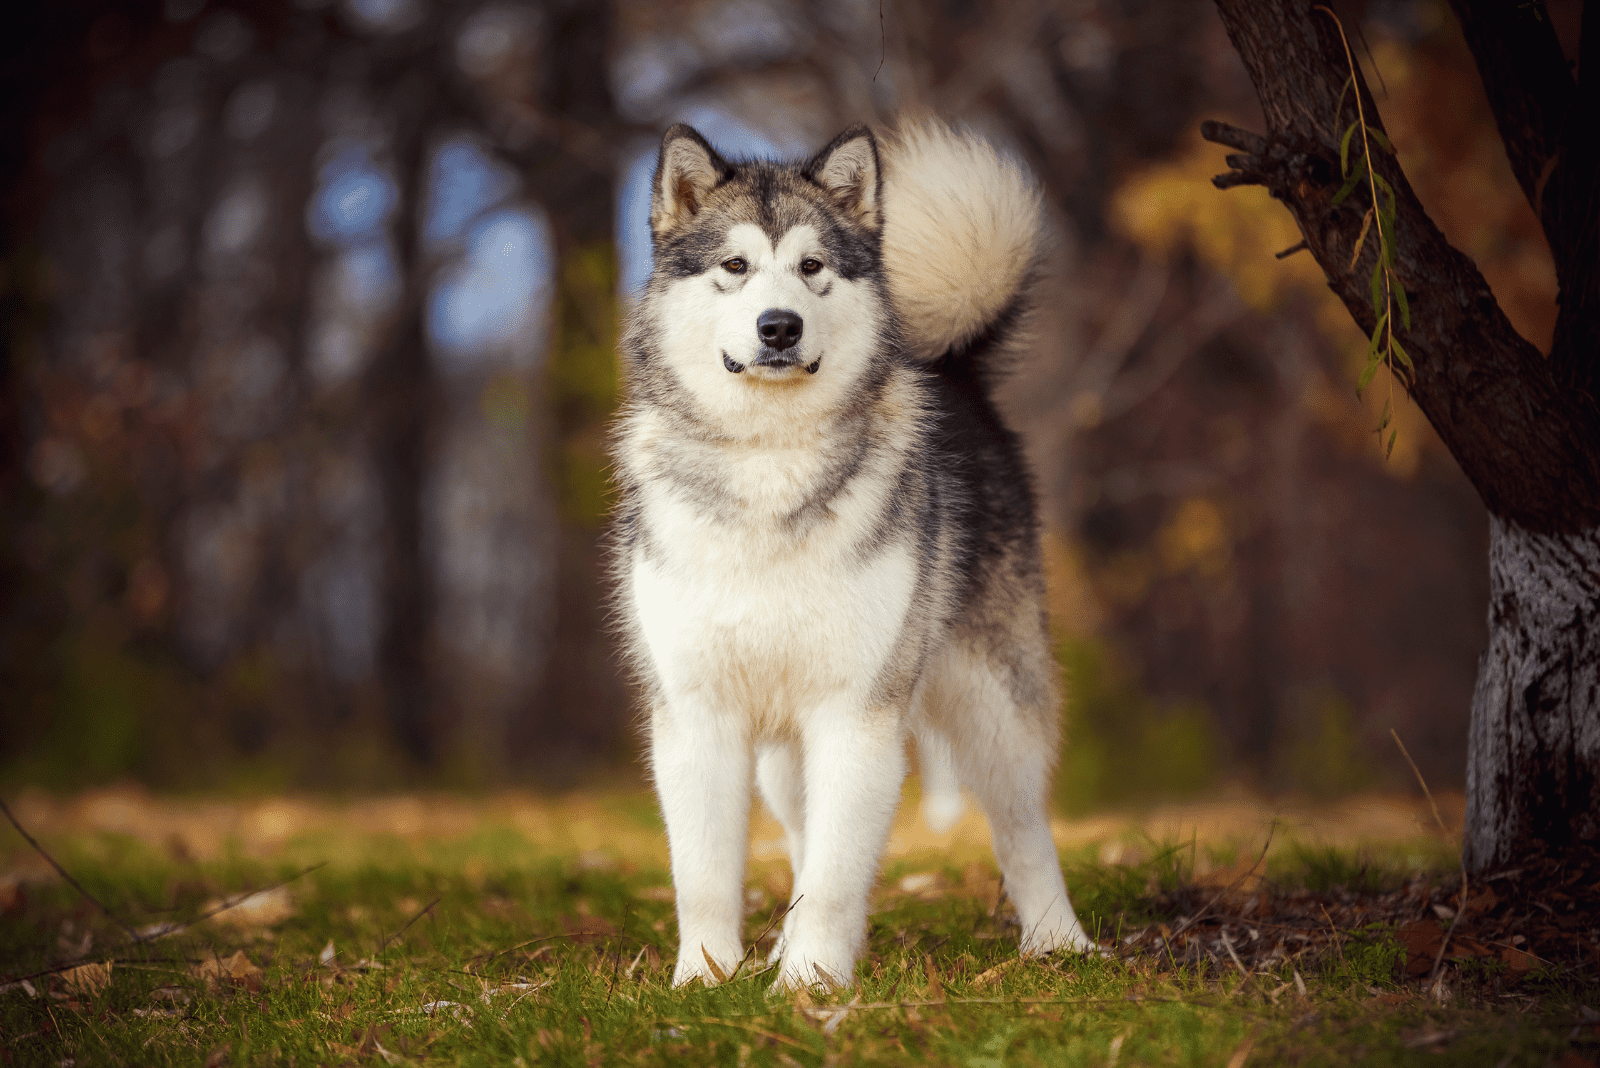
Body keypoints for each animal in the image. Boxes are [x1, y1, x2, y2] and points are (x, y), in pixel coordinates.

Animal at [611, 120, 1100, 991]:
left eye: (813, 267)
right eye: (734, 266)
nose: (779, 326)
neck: (769, 464)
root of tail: (955, 370)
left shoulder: (857, 712)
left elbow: (839, 872)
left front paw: (810, 984)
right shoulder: (698, 715)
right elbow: (706, 873)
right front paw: (706, 979)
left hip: (992, 700)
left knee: (1021, 826)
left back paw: (1058, 940)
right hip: (784, 749)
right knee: (804, 828)